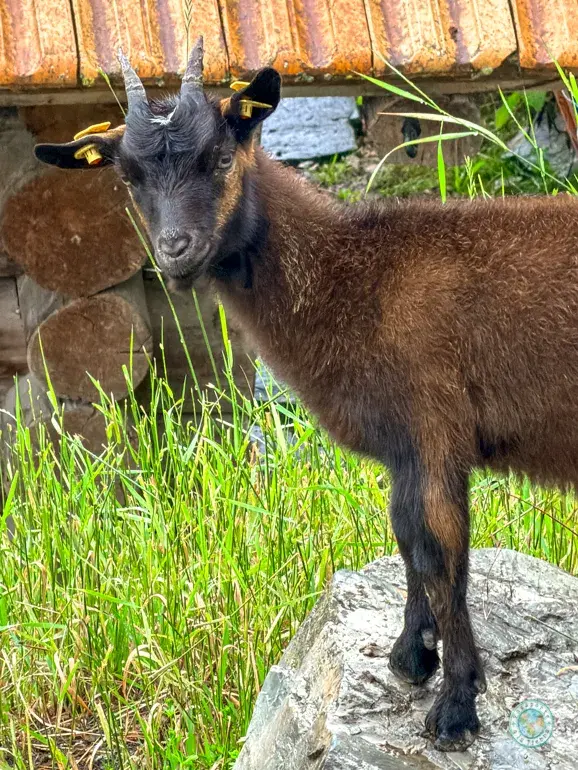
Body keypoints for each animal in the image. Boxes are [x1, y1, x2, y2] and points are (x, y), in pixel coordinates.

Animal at [34, 38, 578, 752]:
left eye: (221, 154)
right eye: (128, 177)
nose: (176, 251)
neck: (356, 281)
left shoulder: (432, 429)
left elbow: (437, 553)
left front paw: (456, 707)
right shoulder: (409, 450)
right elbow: (408, 541)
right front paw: (411, 658)